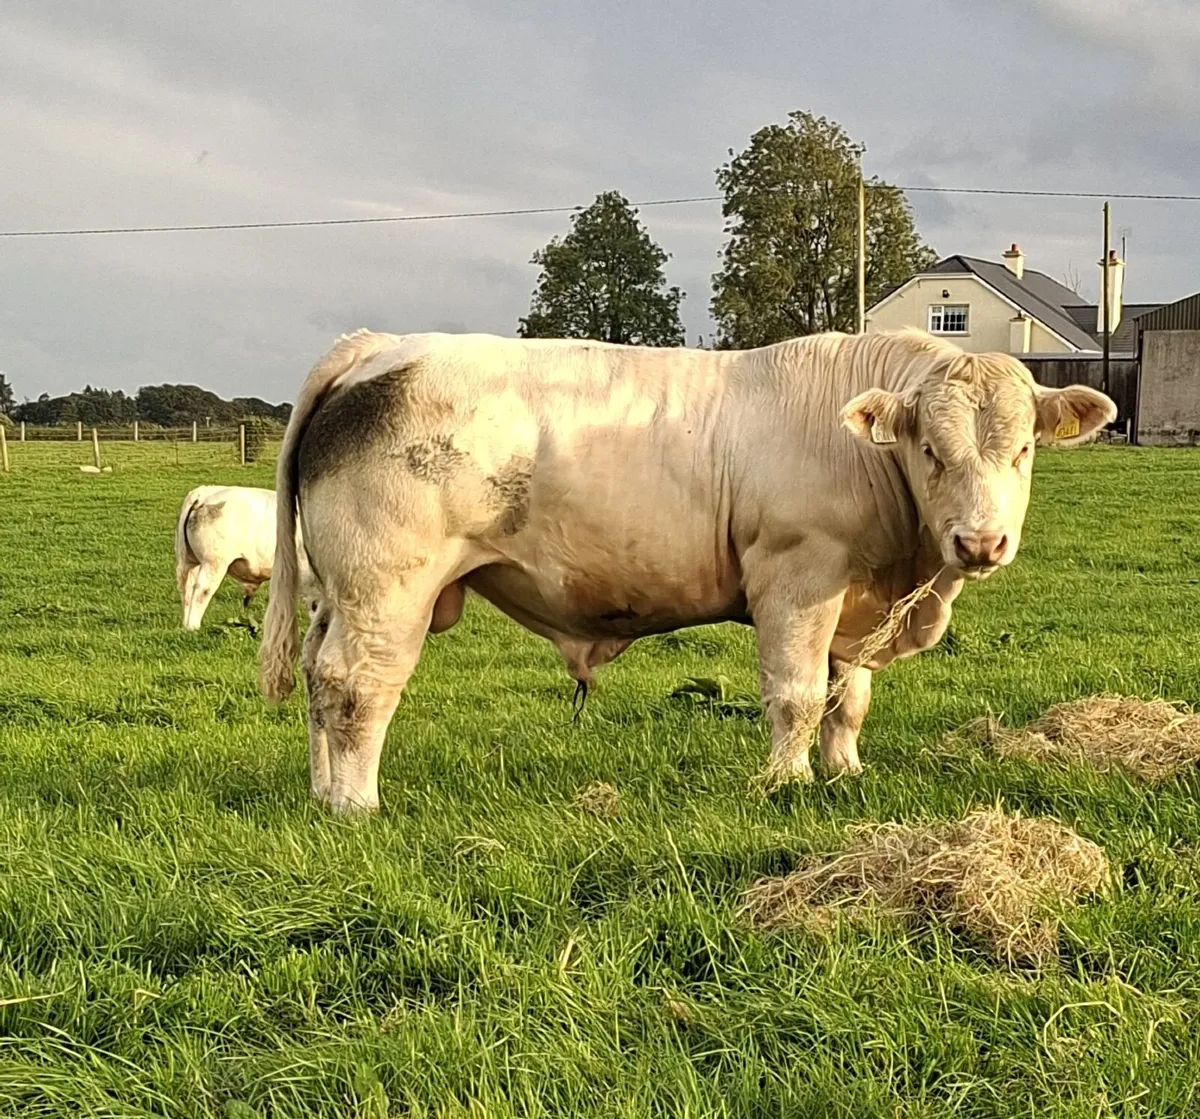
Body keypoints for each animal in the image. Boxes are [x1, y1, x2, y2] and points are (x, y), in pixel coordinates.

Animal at [175, 485, 314, 630]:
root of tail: (206, 491)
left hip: (191, 562)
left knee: (187, 590)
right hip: (213, 563)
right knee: (201, 591)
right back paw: (193, 627)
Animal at [259, 327, 1115, 813]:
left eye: (1025, 448)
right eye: (932, 450)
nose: (981, 542)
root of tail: (380, 345)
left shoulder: (851, 601)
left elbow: (848, 700)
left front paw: (845, 773)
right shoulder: (798, 577)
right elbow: (798, 695)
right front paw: (787, 783)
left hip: (336, 593)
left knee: (318, 678)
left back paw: (321, 789)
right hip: (387, 587)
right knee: (357, 685)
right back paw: (356, 801)